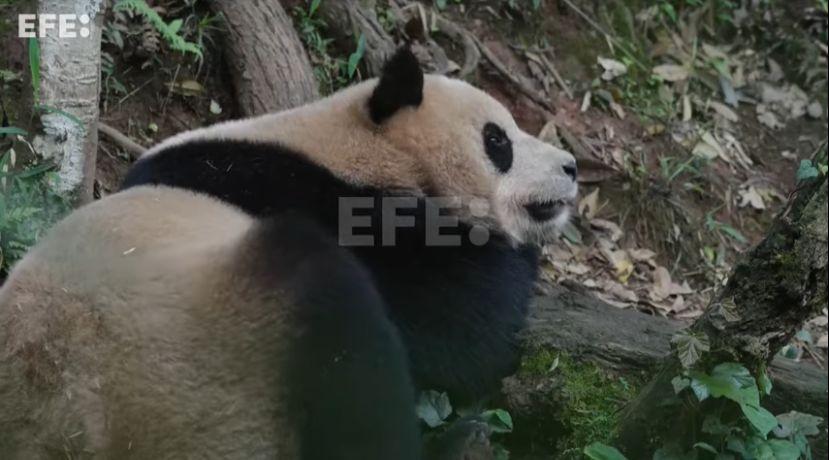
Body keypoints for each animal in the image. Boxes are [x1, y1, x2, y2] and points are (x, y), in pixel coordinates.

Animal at [0, 47, 577, 459]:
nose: (571, 166)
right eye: (498, 140)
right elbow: (467, 322)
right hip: (192, 367)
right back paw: (455, 445)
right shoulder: (316, 198)